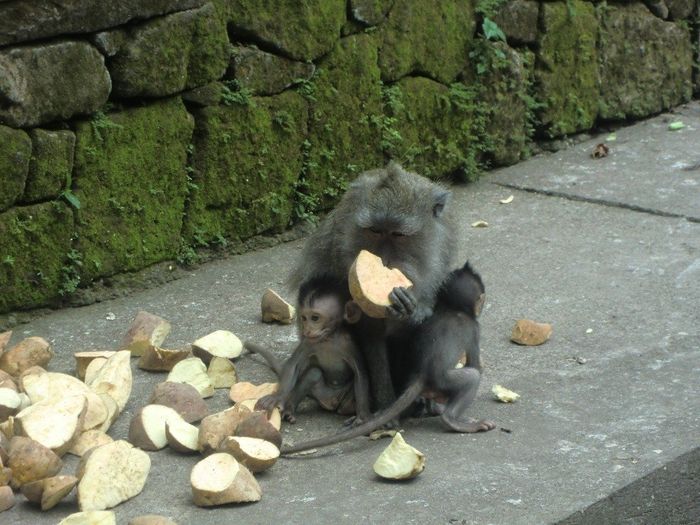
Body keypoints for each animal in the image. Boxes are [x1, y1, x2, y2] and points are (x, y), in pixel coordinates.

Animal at [246, 276, 372, 424]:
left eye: (315, 318)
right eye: (304, 318)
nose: (307, 330)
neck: (328, 339)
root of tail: (332, 403)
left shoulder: (350, 344)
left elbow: (360, 373)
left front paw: (362, 417)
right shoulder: (308, 342)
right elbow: (294, 366)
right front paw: (278, 397)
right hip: (322, 394)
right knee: (313, 373)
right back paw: (290, 410)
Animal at [281, 261, 495, 454]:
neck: (453, 308)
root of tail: (421, 376)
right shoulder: (474, 328)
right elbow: (475, 363)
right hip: (444, 380)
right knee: (472, 377)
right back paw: (451, 419)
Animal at [288, 162, 457, 412]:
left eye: (398, 234)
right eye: (375, 231)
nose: (383, 259)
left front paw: (411, 308)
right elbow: (370, 333)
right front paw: (387, 405)